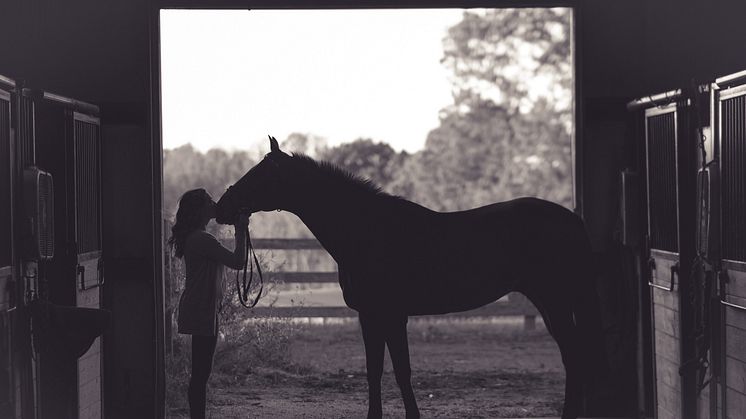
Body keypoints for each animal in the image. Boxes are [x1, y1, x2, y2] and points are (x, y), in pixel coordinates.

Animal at [215, 136, 604, 418]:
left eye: (259, 175)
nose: (221, 208)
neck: (368, 232)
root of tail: (573, 219)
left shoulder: (393, 314)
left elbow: (402, 371)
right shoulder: (369, 316)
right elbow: (374, 370)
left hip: (555, 301)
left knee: (576, 356)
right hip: (550, 303)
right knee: (574, 356)